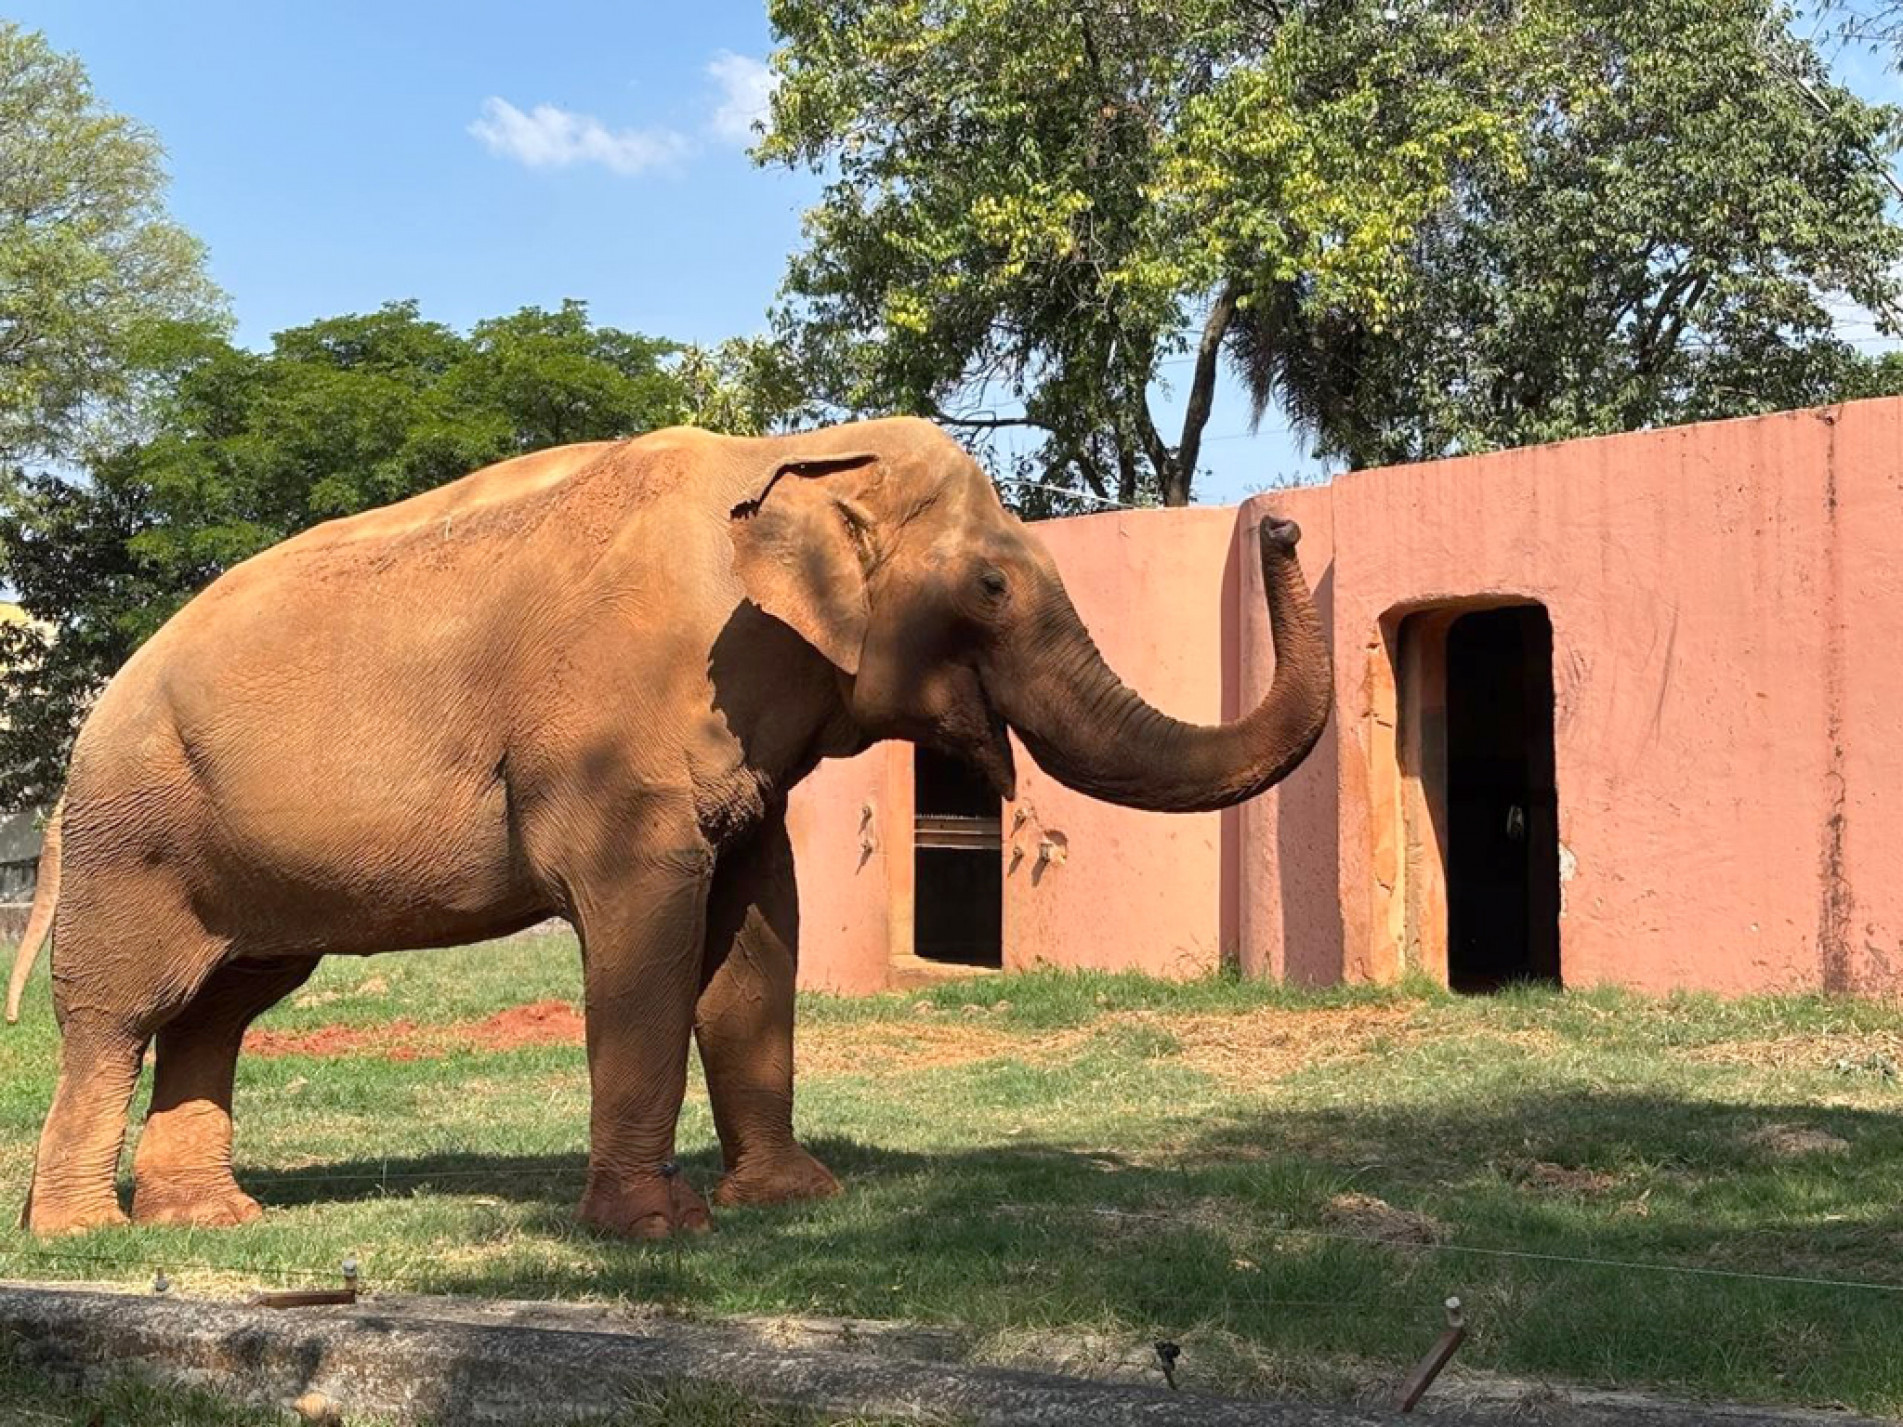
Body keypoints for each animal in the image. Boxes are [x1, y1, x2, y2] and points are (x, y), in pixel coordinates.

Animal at [7, 416, 1332, 1238]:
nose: (1282, 528)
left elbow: (757, 930)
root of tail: (87, 726)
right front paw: (655, 1227)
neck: (789, 454)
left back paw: (209, 1218)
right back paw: (82, 1233)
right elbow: (645, 927)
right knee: (119, 1012)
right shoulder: (616, 743)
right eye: (993, 586)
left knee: (225, 1002)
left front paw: (795, 1199)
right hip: (134, 834)